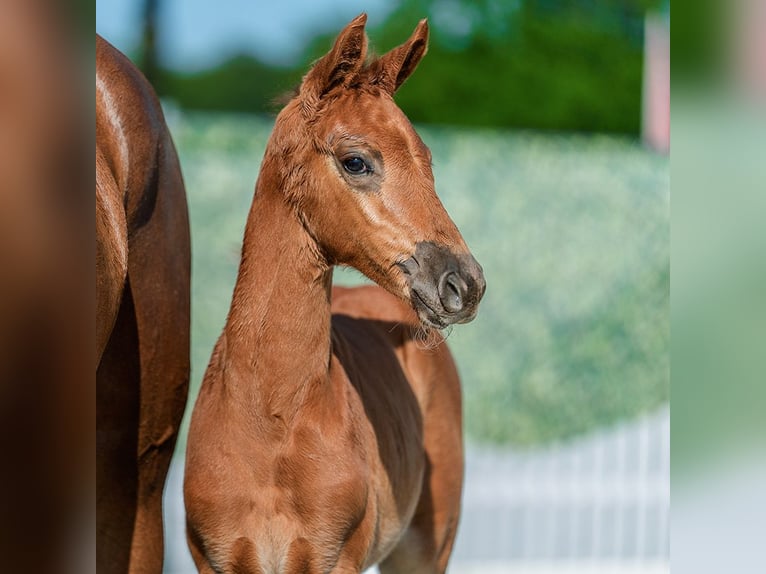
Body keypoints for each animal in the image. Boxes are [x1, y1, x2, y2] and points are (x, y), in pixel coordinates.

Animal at [184, 14, 485, 573]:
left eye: (427, 159)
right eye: (356, 161)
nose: (464, 283)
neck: (271, 424)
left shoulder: (333, 559)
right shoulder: (215, 560)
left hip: (425, 547)